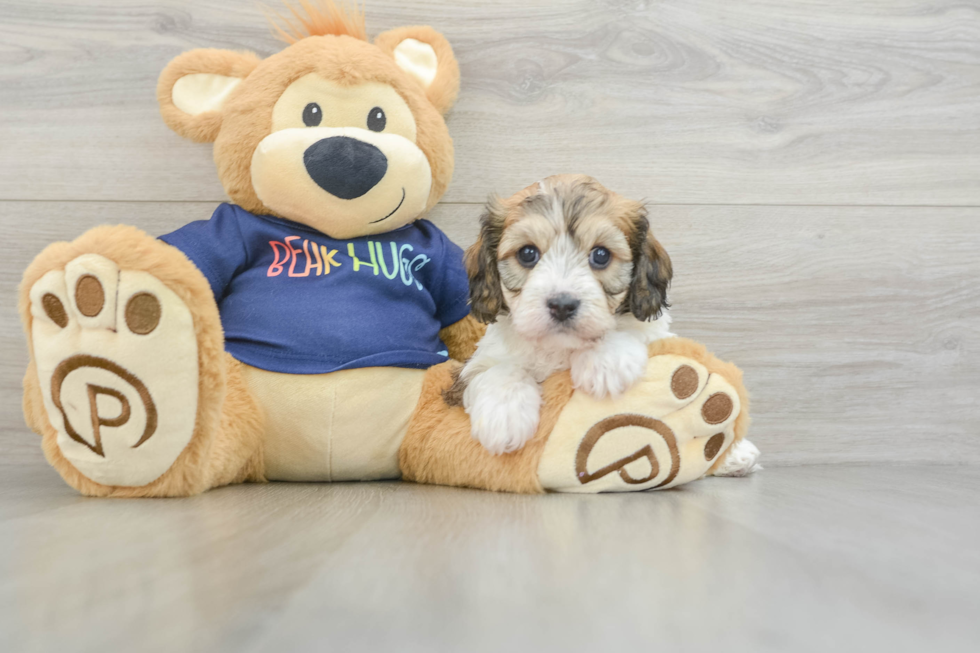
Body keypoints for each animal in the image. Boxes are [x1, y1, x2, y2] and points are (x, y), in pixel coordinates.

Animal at [452, 176, 672, 456]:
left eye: (601, 255)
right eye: (527, 253)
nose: (562, 305)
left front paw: (605, 358)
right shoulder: (473, 365)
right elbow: (496, 368)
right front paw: (504, 413)